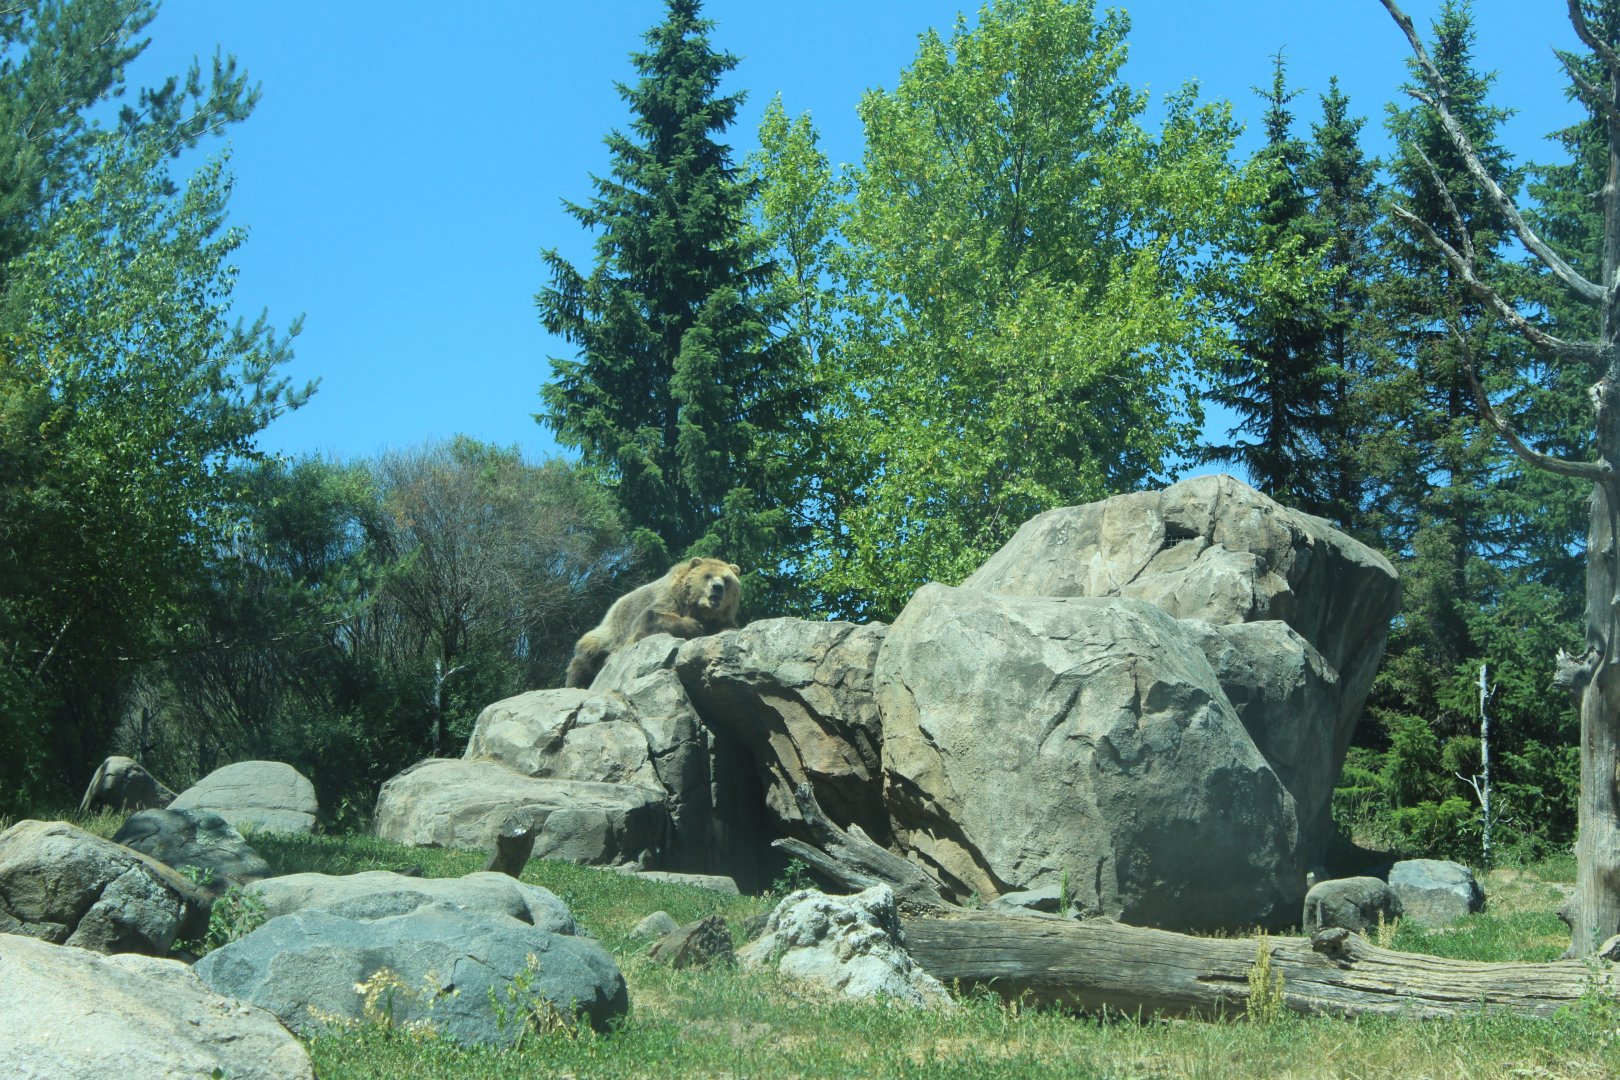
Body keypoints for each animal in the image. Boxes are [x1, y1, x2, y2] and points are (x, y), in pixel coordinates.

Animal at [564, 557, 742, 689]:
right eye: (708, 576)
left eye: (726, 579)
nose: (717, 588)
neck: (700, 608)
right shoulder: (669, 599)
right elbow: (651, 618)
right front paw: (696, 625)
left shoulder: (721, 617)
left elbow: (728, 626)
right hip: (609, 634)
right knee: (585, 658)